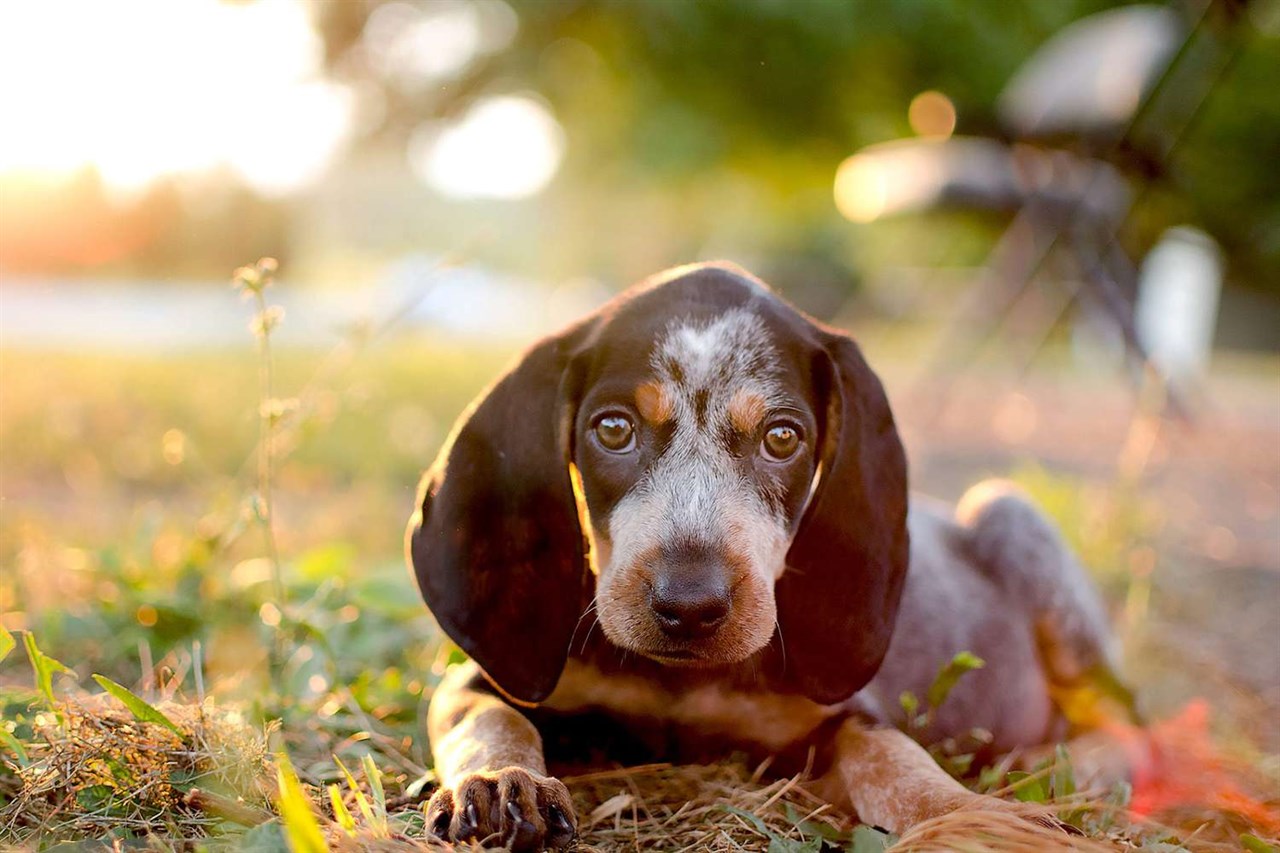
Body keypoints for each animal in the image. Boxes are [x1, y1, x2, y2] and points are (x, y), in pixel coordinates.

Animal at [407, 258, 1121, 845]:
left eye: (782, 438)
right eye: (612, 429)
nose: (689, 608)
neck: (681, 685)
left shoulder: (833, 720)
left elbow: (892, 756)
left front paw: (972, 814)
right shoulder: (486, 678)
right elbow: (487, 718)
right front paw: (501, 782)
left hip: (1013, 516)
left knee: (1122, 721)